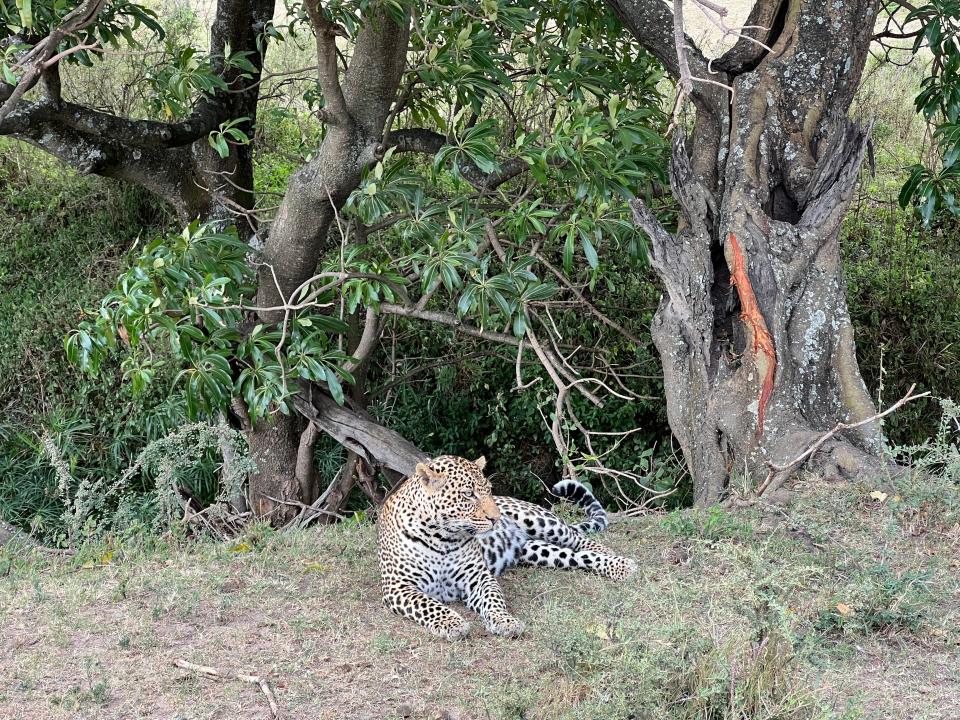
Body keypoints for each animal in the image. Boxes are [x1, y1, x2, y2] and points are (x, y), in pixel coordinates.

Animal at [376, 456, 636, 640]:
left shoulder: (479, 577)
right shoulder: (398, 586)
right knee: (576, 556)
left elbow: (493, 600)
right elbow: (429, 605)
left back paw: (617, 561)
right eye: (468, 494)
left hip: (540, 521)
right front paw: (453, 623)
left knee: (578, 539)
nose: (496, 518)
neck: (443, 538)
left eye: (488, 490)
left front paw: (505, 622)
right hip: (537, 551)